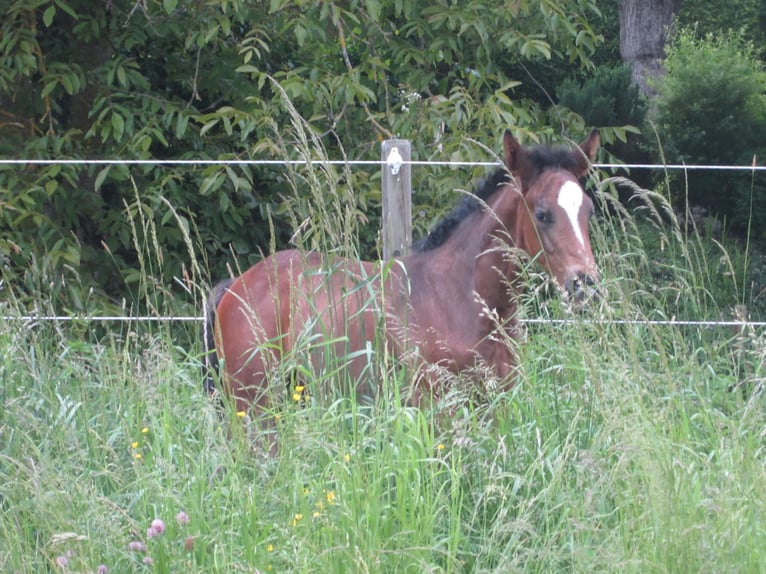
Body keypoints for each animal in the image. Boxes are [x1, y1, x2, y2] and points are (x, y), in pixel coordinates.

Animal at [207, 132, 604, 424]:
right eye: (542, 213)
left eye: (587, 210)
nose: (585, 284)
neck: (460, 296)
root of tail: (234, 287)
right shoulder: (438, 404)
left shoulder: (496, 398)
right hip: (254, 403)